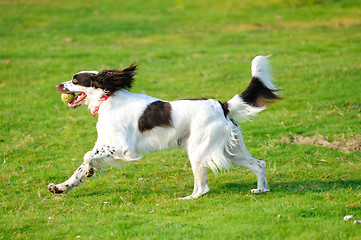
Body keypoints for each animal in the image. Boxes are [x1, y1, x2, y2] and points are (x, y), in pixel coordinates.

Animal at [47, 55, 280, 200]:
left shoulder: (124, 148)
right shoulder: (104, 144)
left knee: (202, 188)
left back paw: (186, 198)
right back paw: (261, 189)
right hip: (230, 151)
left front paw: (88, 170)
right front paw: (62, 187)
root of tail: (222, 105)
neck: (108, 99)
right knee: (259, 164)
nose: (57, 85)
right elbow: (81, 165)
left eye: (75, 79)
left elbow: (87, 155)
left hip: (199, 151)